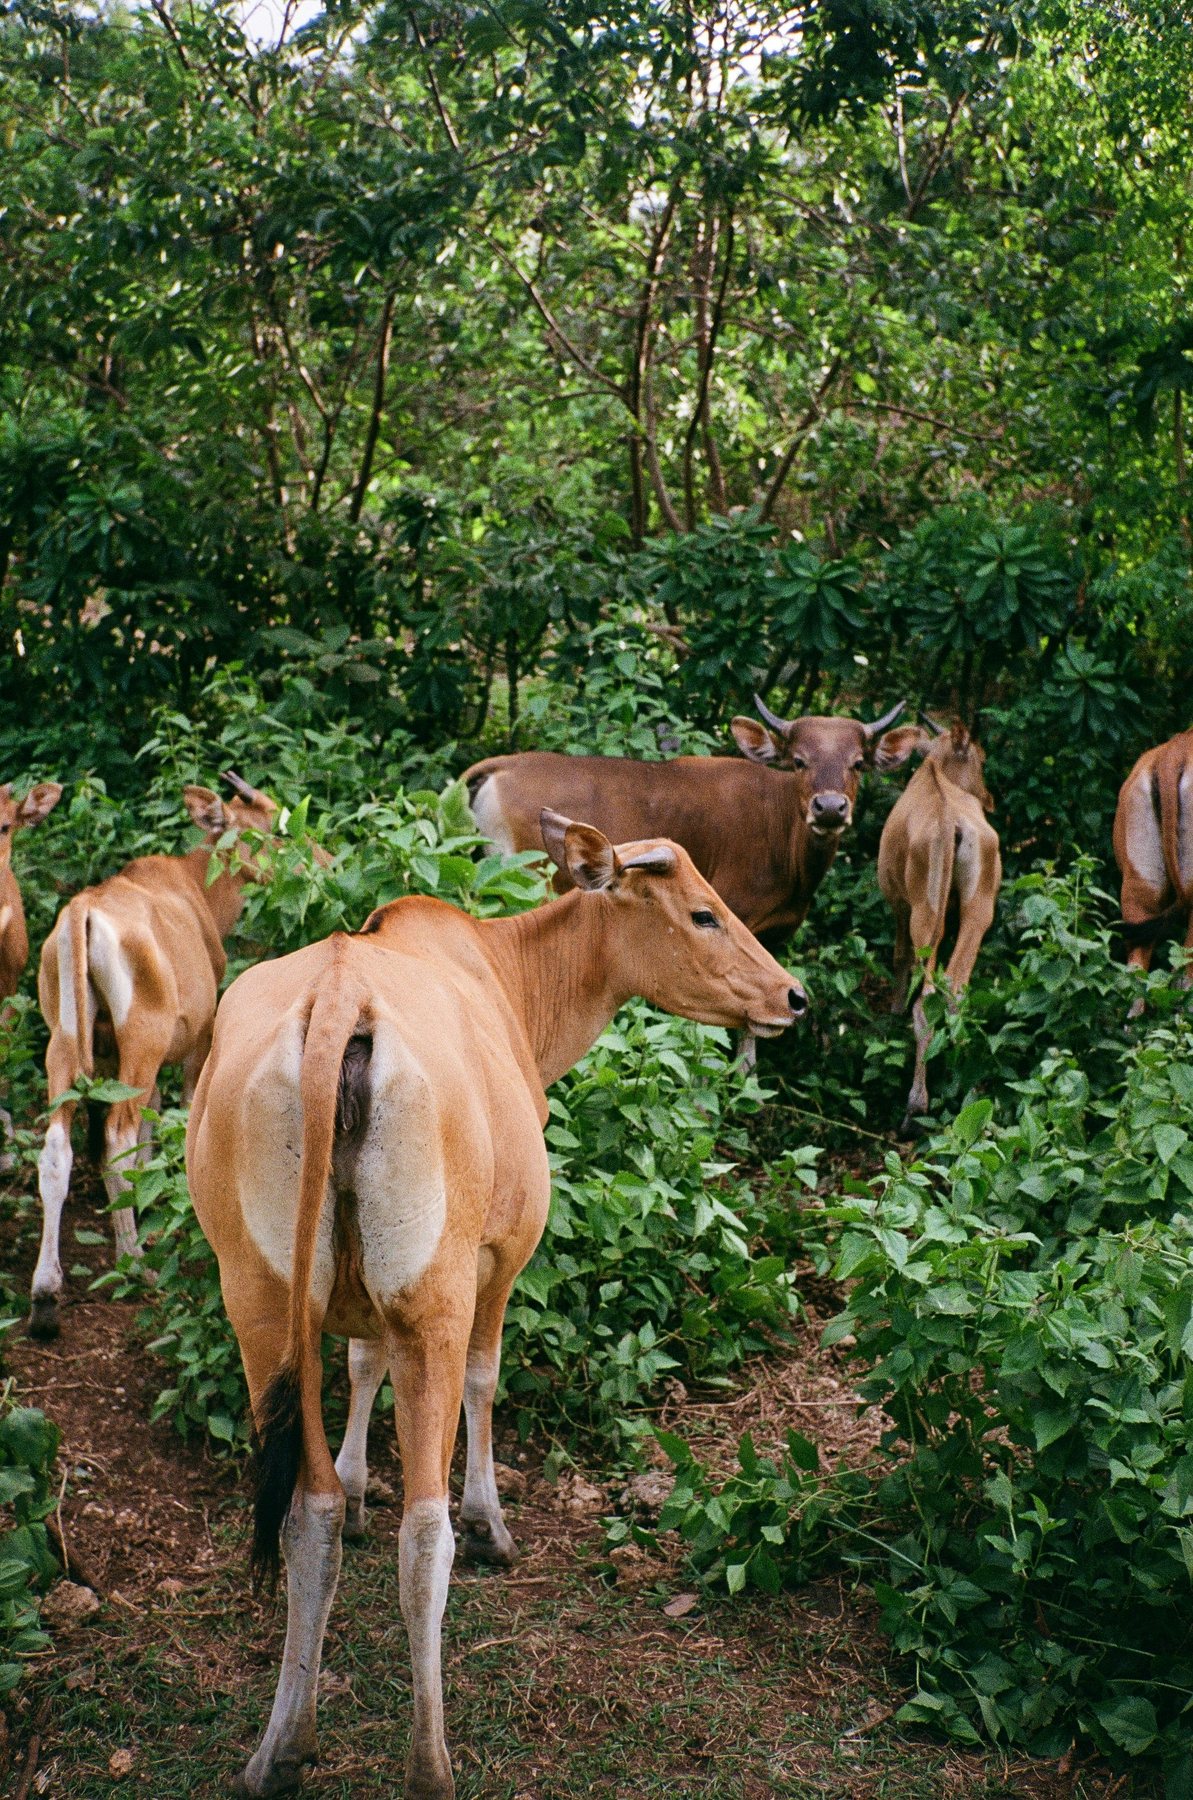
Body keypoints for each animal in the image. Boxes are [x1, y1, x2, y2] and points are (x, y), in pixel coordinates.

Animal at [29, 772, 279, 1338]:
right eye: (268, 829)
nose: (320, 858)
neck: (201, 893)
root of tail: (80, 912)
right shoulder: (196, 1043)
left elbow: (150, 1133)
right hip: (140, 1039)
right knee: (113, 1139)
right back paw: (134, 1262)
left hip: (64, 1042)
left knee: (58, 1146)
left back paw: (45, 1296)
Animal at [185, 811, 805, 1800]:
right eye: (704, 912)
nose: (792, 997)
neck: (508, 977)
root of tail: (338, 1003)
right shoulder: (501, 1256)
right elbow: (486, 1379)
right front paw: (491, 1522)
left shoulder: (357, 1305)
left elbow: (359, 1370)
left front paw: (356, 1485)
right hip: (433, 1295)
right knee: (423, 1530)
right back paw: (428, 1759)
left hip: (259, 1297)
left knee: (301, 1513)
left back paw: (283, 1742)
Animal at [876, 720, 1001, 1134]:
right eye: (981, 758)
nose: (988, 797)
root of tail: (951, 823)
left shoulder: (899, 903)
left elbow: (899, 957)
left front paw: (894, 1008)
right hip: (980, 905)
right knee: (955, 988)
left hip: (925, 910)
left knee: (928, 996)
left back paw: (916, 1106)